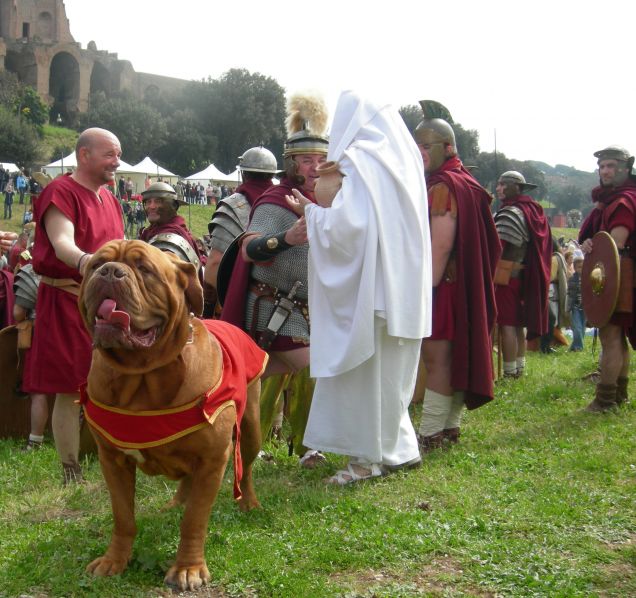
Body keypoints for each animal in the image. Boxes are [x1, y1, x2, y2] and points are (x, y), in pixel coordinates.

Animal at [77, 241, 266, 592]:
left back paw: (248, 503)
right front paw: (114, 560)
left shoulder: (213, 458)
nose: (110, 272)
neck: (142, 375)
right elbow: (123, 516)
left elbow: (194, 519)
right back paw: (176, 502)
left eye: (145, 269)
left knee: (244, 469)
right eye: (96, 264)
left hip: (251, 430)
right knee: (187, 482)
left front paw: (188, 568)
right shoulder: (112, 460)